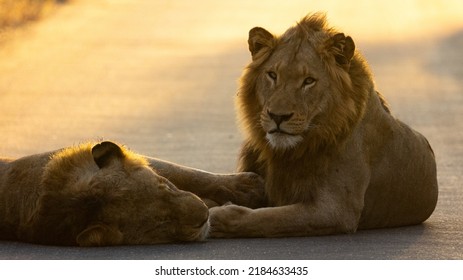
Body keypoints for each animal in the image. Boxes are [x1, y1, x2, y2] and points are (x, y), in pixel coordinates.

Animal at [210, 12, 438, 236]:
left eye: (309, 81)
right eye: (272, 75)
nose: (277, 116)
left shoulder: (336, 210)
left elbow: (270, 219)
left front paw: (218, 217)